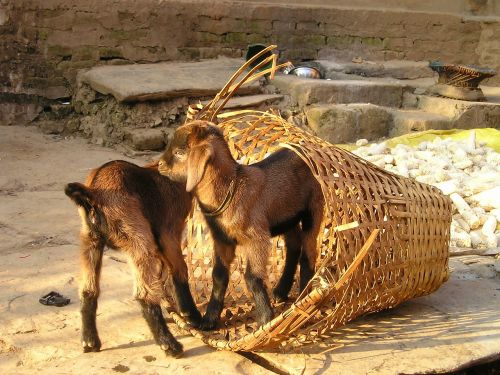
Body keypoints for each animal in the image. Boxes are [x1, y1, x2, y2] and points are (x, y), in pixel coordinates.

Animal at [64, 159, 201, 358]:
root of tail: (93, 192)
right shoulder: (169, 233)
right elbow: (180, 270)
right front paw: (191, 315)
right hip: (138, 238)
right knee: (143, 294)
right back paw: (169, 345)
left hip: (90, 241)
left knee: (88, 290)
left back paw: (90, 341)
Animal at [158, 122, 326, 330]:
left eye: (180, 152)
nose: (160, 165)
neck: (232, 189)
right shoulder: (222, 241)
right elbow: (218, 276)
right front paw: (209, 319)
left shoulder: (257, 239)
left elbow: (252, 277)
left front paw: (265, 319)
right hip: (288, 217)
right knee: (294, 247)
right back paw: (280, 291)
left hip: (314, 208)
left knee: (308, 252)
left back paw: (303, 297)